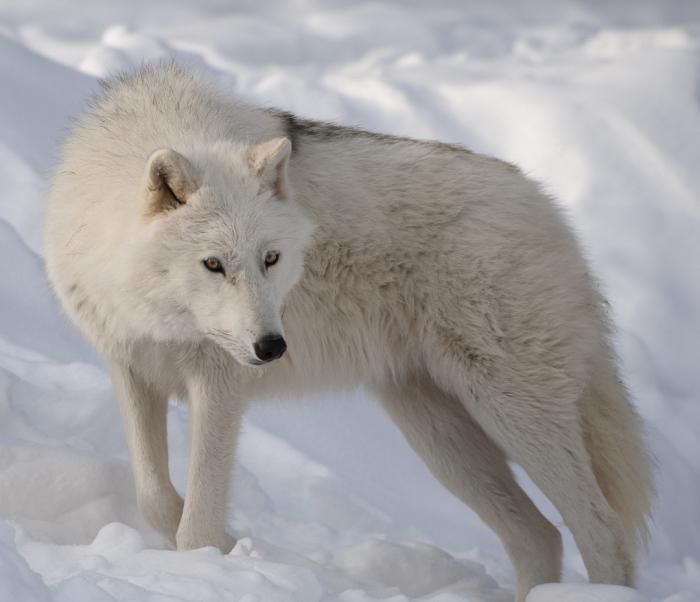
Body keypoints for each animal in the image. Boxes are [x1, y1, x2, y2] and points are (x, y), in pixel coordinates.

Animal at [46, 63, 652, 596]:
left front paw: (214, 559)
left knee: (602, 529)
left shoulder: (219, 387)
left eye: (271, 259)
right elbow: (154, 498)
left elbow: (198, 519)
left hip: (510, 412)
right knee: (539, 536)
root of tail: (552, 212)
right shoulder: (130, 368)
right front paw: (216, 546)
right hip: (440, 436)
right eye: (213, 264)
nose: (272, 347)